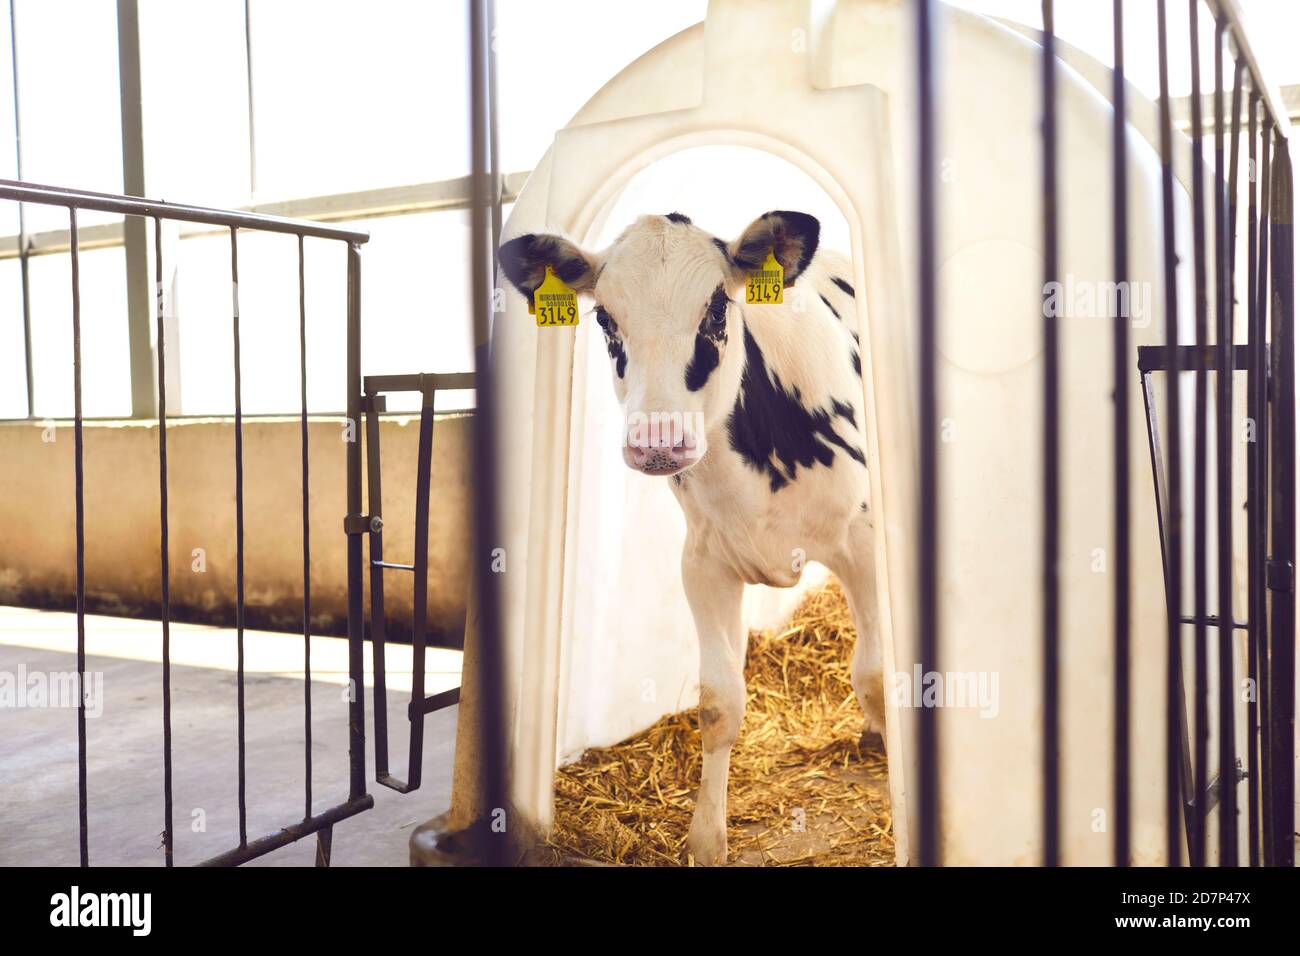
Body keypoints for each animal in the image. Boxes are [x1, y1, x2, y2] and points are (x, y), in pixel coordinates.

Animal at [499, 210, 883, 868]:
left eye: (717, 308)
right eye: (604, 318)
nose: (659, 440)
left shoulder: (863, 542)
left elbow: (878, 677)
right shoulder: (704, 563)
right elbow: (718, 702)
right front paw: (707, 840)